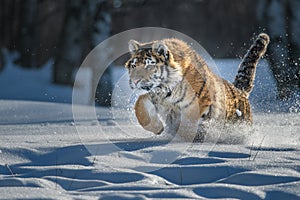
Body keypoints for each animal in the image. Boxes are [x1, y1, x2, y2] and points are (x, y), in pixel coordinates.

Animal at [124, 33, 270, 142]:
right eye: (134, 66)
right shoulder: (155, 97)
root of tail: (240, 91)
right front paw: (159, 128)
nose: (135, 81)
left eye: (149, 66)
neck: (165, 89)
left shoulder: (200, 102)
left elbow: (189, 125)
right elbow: (139, 106)